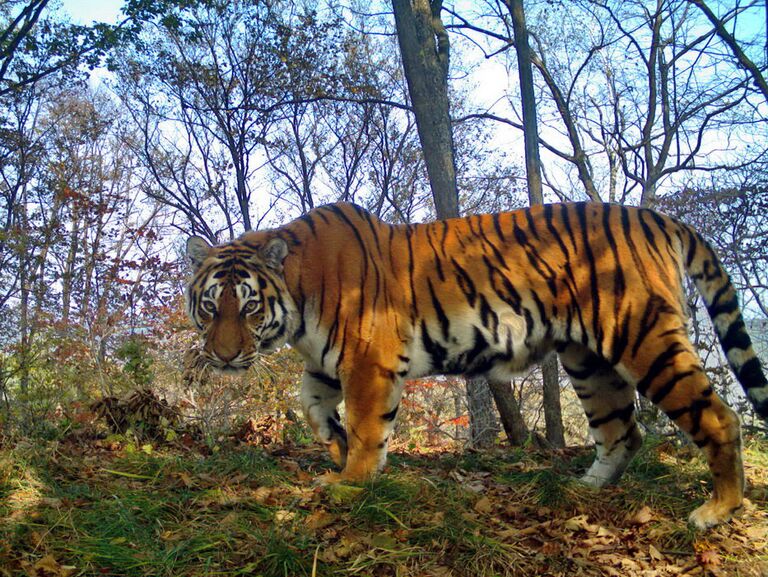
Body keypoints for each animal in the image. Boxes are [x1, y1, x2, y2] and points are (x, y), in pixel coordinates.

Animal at [186, 200, 768, 528]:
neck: (298, 293)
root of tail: (656, 216)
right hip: (589, 361)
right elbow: (311, 406)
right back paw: (587, 487)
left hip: (644, 336)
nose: (224, 355)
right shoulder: (327, 363)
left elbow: (368, 424)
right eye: (212, 307)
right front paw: (336, 446)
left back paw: (718, 511)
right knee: (623, 430)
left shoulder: (368, 360)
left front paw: (353, 479)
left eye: (250, 307)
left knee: (719, 417)